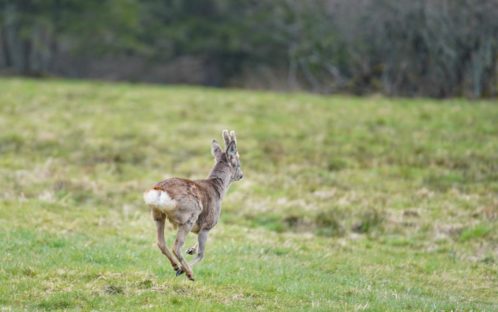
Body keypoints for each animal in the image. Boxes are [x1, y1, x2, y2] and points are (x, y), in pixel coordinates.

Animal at [142, 129, 243, 280]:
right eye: (238, 162)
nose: (241, 175)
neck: (218, 188)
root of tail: (160, 191)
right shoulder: (208, 224)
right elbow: (202, 253)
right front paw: (185, 269)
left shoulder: (200, 226)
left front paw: (190, 250)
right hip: (188, 216)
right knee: (176, 246)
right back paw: (188, 272)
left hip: (158, 215)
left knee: (161, 243)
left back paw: (176, 266)